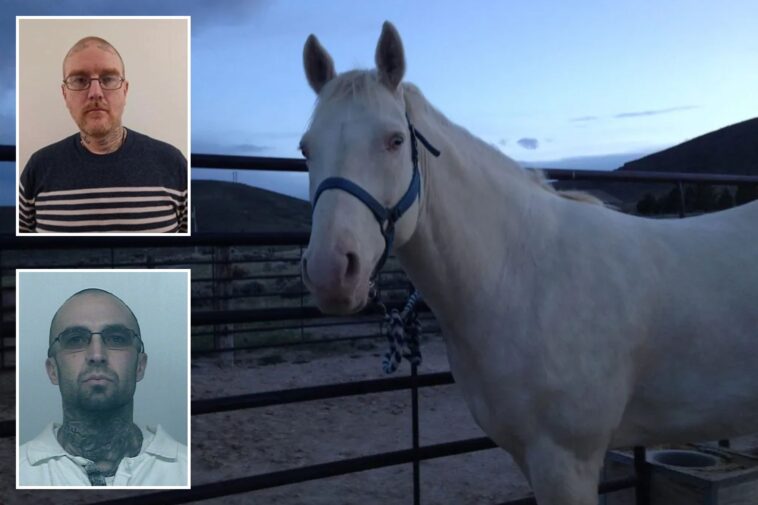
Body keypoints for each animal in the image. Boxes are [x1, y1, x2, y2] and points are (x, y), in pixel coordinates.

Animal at [299, 21, 758, 505]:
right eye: (306, 149)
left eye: (395, 140)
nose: (330, 272)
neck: (520, 279)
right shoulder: (529, 456)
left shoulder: (568, 461)